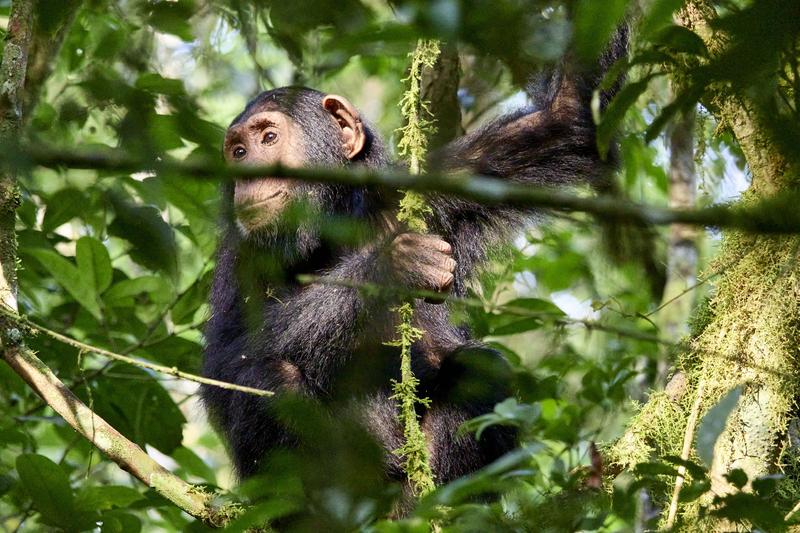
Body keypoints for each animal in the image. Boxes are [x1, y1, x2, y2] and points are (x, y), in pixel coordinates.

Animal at [203, 28, 628, 494]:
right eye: (238, 151)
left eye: (268, 138)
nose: (248, 172)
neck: (337, 219)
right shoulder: (239, 254)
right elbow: (229, 355)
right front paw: (396, 264)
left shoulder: (446, 180)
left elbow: (566, 118)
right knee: (268, 376)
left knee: (479, 368)